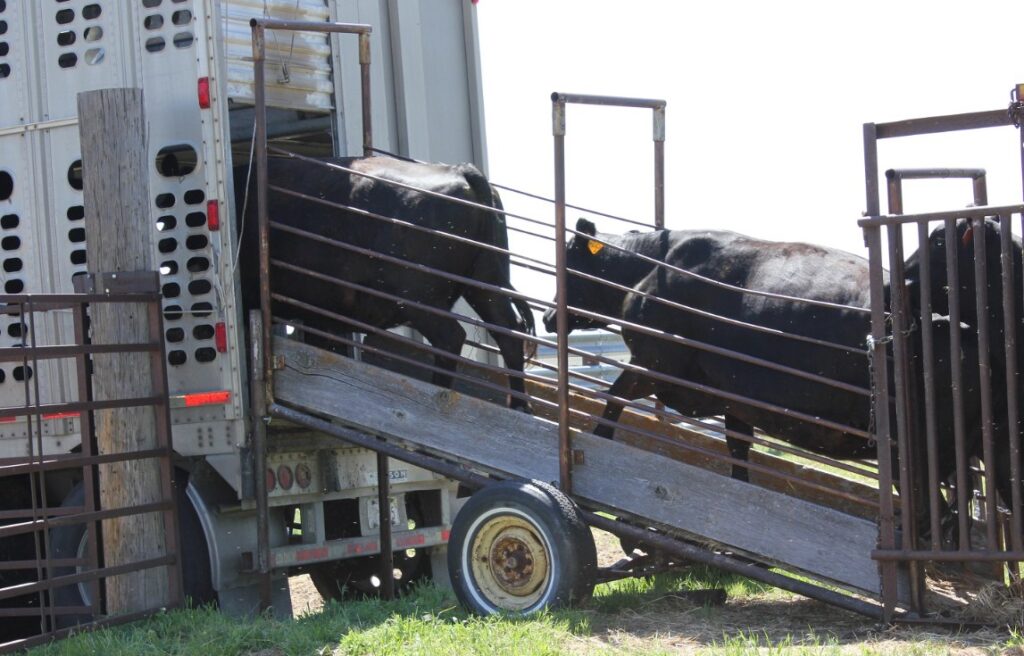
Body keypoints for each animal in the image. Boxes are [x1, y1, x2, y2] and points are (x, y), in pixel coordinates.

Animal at [234, 154, 532, 409]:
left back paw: (438, 395)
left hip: (420, 299)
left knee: (450, 337)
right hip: (484, 283)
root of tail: (458, 170)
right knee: (509, 331)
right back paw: (519, 406)